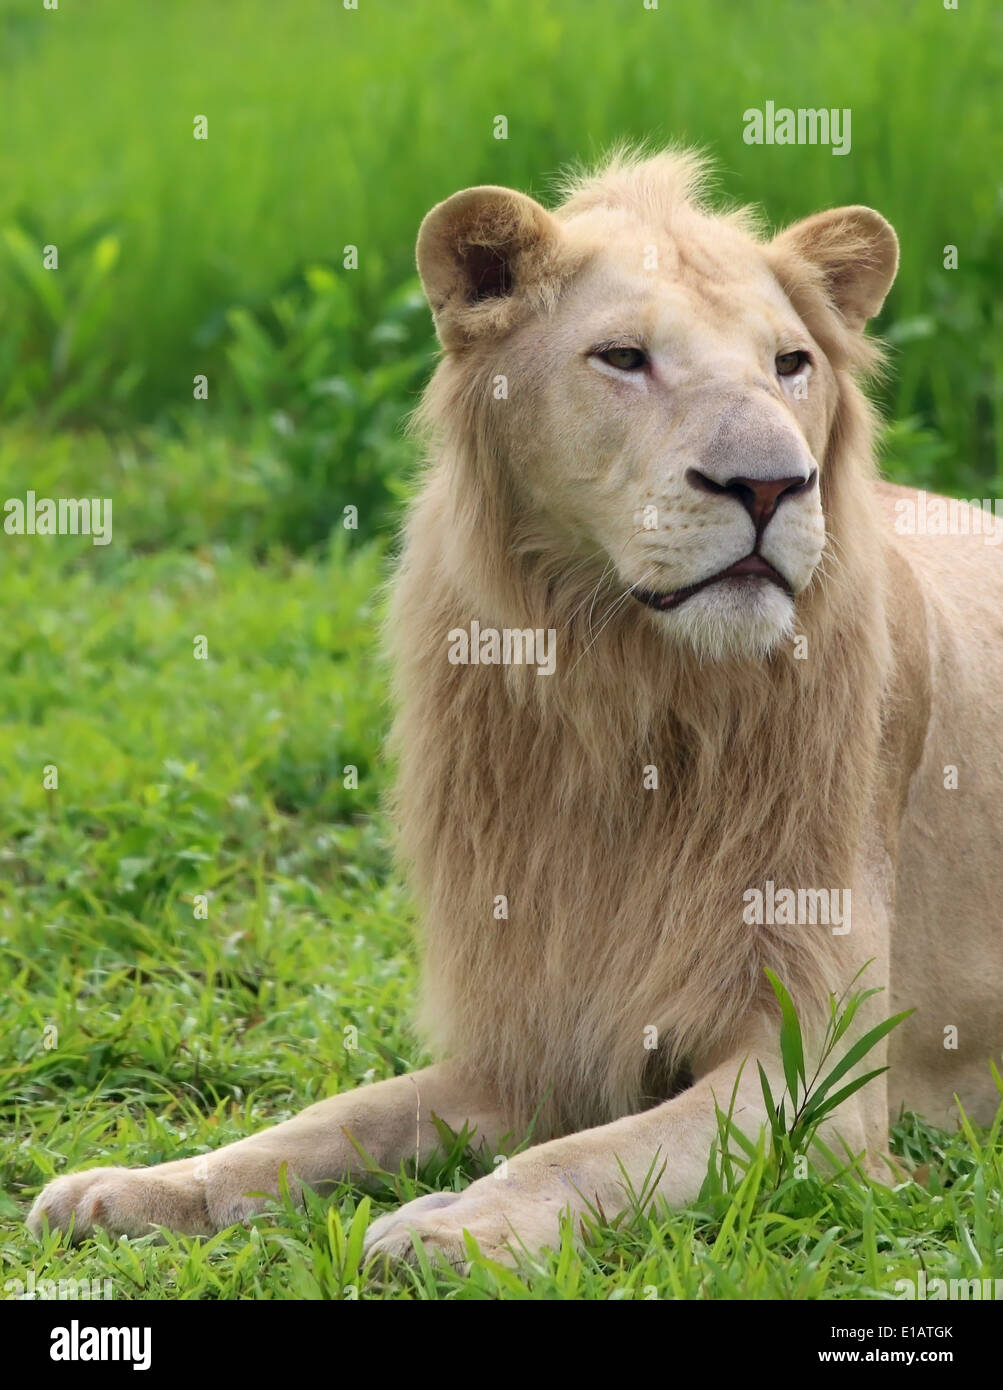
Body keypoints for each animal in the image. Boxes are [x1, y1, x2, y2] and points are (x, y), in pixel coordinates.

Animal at [29, 150, 1003, 1270]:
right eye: (622, 358)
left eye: (790, 363)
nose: (770, 486)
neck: (624, 696)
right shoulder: (531, 1037)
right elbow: (334, 1118)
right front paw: (139, 1189)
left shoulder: (824, 1078)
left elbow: (594, 1155)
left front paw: (450, 1226)